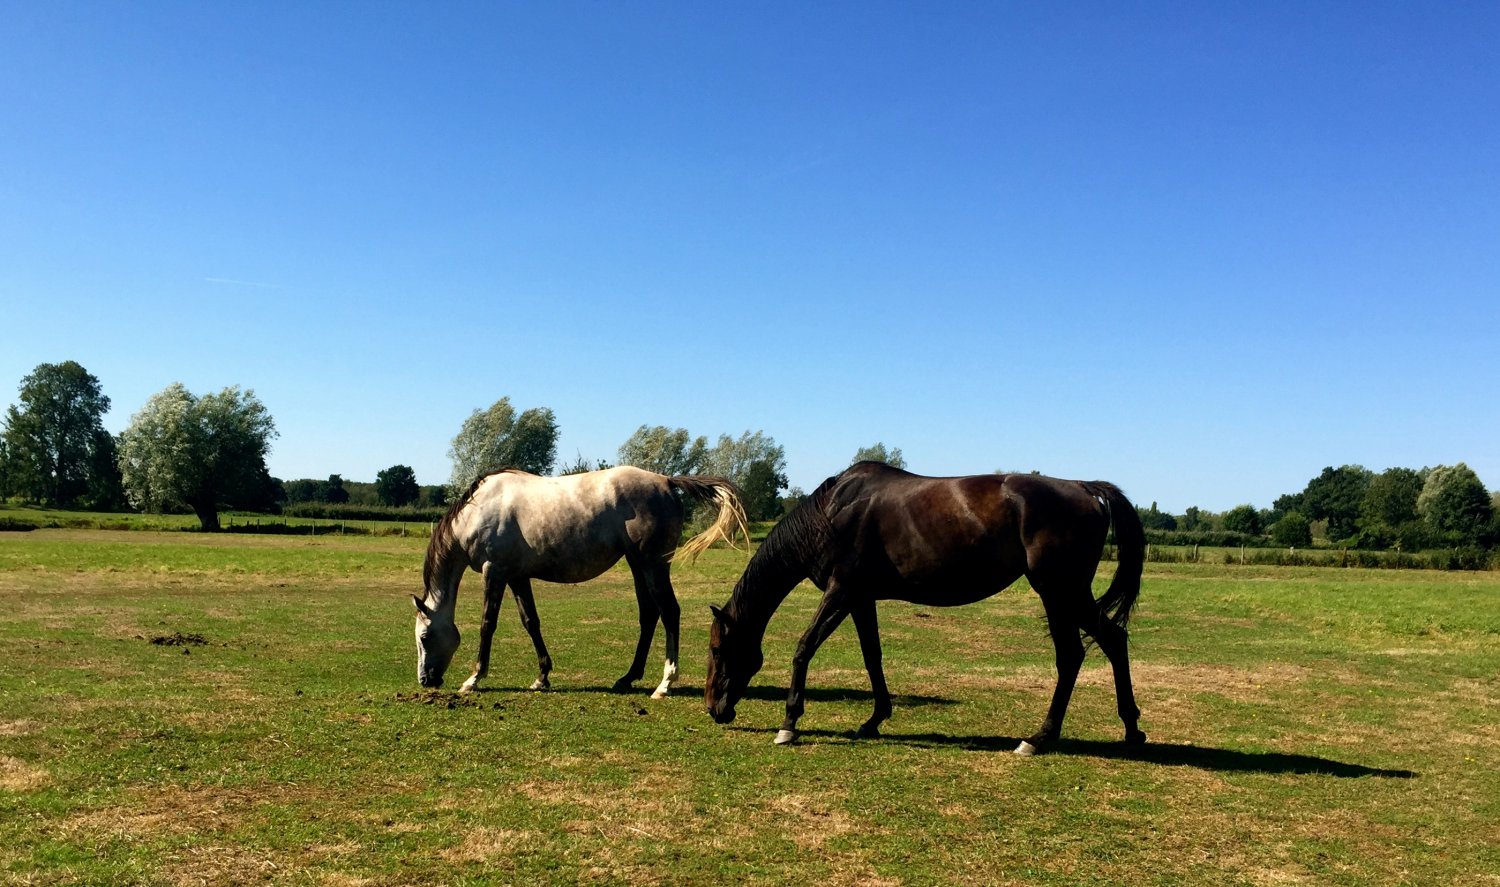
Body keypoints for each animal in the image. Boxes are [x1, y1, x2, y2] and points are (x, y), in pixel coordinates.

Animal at [414, 466, 746, 698]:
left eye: (424, 637)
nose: (425, 680)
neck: (478, 510)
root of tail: (665, 481)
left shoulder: (493, 572)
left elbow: (487, 625)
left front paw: (474, 678)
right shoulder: (517, 576)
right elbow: (530, 622)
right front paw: (542, 678)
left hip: (653, 564)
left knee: (669, 611)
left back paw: (665, 683)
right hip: (637, 565)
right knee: (649, 614)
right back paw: (628, 678)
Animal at [704, 461, 1147, 755]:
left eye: (716, 649)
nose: (714, 709)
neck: (831, 513)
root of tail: (1085, 488)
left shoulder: (840, 590)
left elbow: (804, 647)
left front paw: (789, 723)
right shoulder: (860, 597)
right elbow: (873, 657)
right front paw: (874, 719)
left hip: (1059, 593)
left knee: (1075, 653)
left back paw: (1039, 738)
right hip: (1066, 595)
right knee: (1109, 641)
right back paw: (1130, 729)